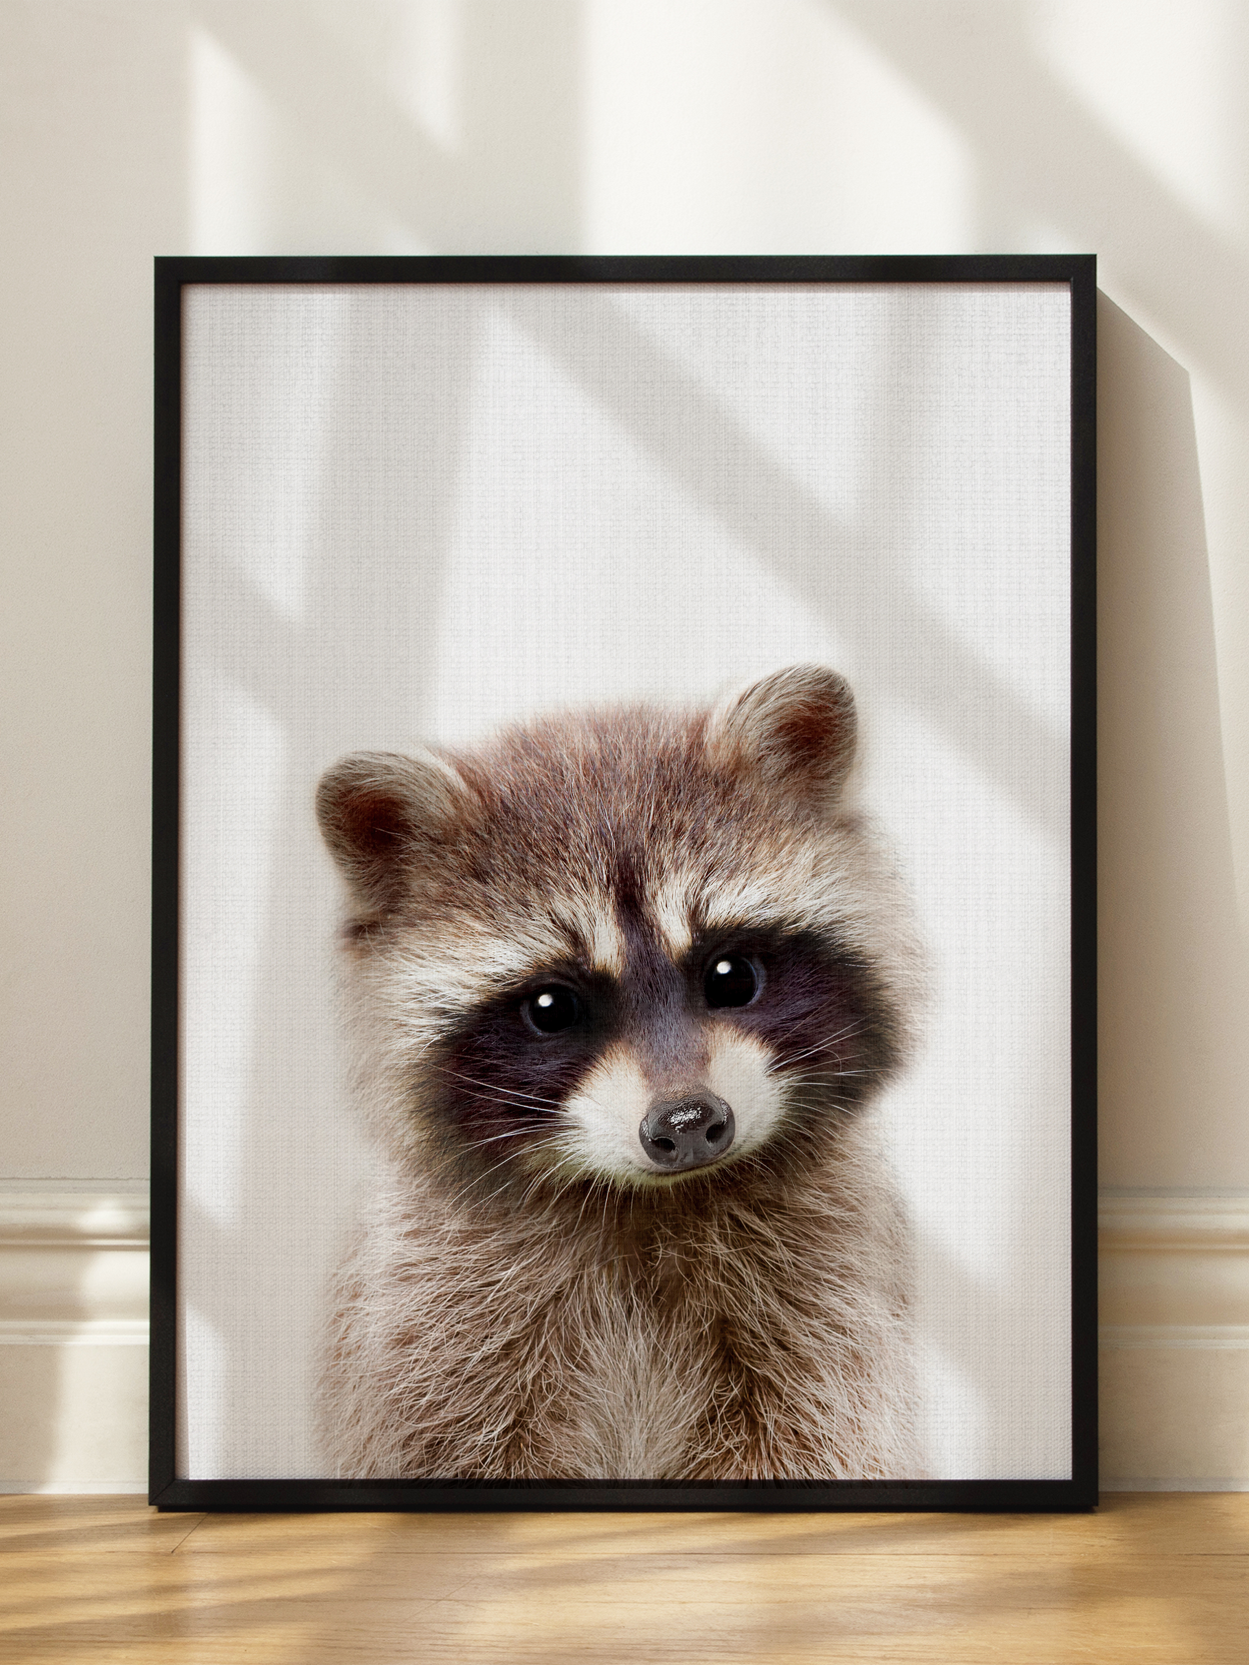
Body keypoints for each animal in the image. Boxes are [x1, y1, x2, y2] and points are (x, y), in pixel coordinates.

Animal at [315, 665, 925, 1481]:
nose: (688, 1123)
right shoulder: (434, 1323)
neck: (647, 1202)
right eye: (551, 1007)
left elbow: (816, 1438)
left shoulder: (824, 1301)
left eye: (731, 975)